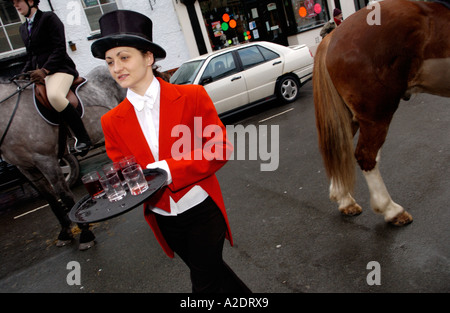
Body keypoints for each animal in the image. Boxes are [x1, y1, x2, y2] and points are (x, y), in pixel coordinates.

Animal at [0, 65, 125, 249]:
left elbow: (65, 196)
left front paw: (85, 234)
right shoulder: (26, 168)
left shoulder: (46, 160)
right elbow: (52, 200)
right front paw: (65, 233)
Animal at [312, 0, 450, 224]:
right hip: (376, 114)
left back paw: (344, 200)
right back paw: (390, 209)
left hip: (351, 116)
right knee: (366, 156)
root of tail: (332, 37)